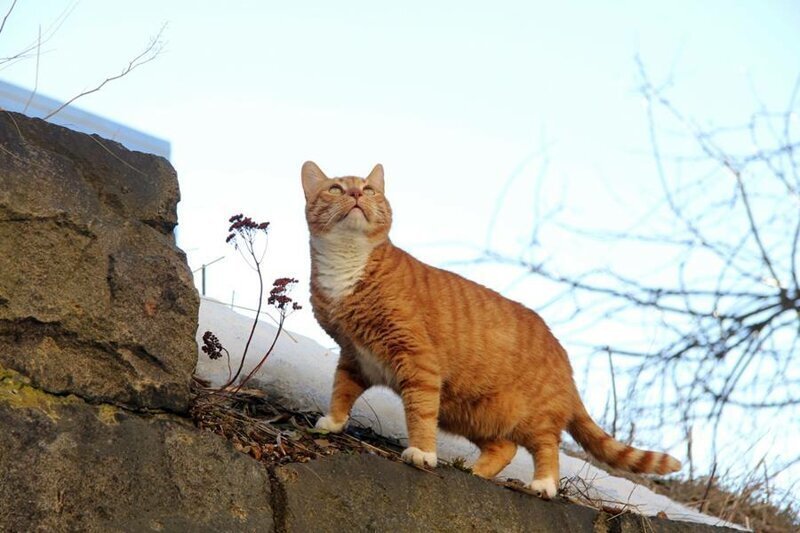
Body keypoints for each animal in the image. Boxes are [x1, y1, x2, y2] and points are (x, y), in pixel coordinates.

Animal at [304, 160, 680, 496]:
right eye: (336, 188)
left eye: (368, 189)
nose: (355, 193)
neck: (348, 266)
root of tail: (563, 356)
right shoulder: (355, 355)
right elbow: (342, 389)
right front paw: (333, 421)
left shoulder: (417, 359)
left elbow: (420, 412)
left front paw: (422, 453)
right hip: (470, 412)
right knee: (505, 447)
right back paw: (473, 471)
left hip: (530, 417)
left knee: (548, 445)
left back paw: (544, 484)